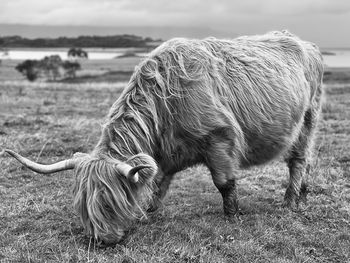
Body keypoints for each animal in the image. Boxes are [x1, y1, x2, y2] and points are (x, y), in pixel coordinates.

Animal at [4, 31, 324, 245]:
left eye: (108, 203)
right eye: (83, 205)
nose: (104, 240)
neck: (166, 99)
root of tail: (308, 43)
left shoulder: (220, 138)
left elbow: (224, 182)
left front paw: (232, 216)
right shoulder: (164, 154)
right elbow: (156, 185)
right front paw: (146, 213)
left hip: (308, 117)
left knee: (299, 159)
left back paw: (291, 201)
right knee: (306, 161)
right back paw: (304, 194)